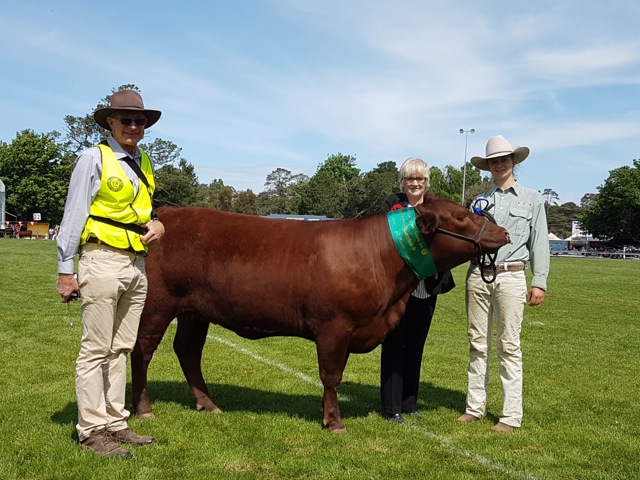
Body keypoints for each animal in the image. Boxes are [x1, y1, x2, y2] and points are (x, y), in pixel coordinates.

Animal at [131, 193, 510, 434]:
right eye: (462, 217)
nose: (503, 232)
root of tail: (165, 214)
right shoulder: (334, 327)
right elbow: (331, 376)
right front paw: (334, 421)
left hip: (195, 310)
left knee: (187, 350)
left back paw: (207, 404)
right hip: (156, 304)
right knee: (142, 350)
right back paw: (144, 408)